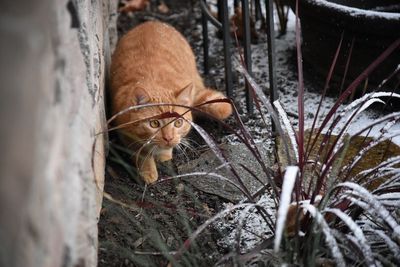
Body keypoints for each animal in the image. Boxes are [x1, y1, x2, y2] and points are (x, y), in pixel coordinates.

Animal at [111, 21, 233, 184]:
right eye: (154, 124)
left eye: (178, 123)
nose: (168, 138)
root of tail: (151, 22)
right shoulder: (126, 134)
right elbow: (141, 153)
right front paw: (148, 171)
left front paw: (164, 155)